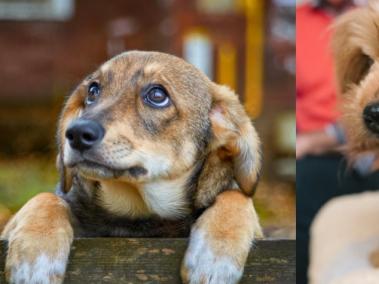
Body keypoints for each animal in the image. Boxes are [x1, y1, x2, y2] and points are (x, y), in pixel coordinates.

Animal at [0, 51, 264, 284]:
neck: (135, 213)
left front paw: (215, 257)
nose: (76, 133)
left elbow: (236, 196)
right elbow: (46, 198)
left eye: (157, 95)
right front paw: (34, 258)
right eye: (93, 90)